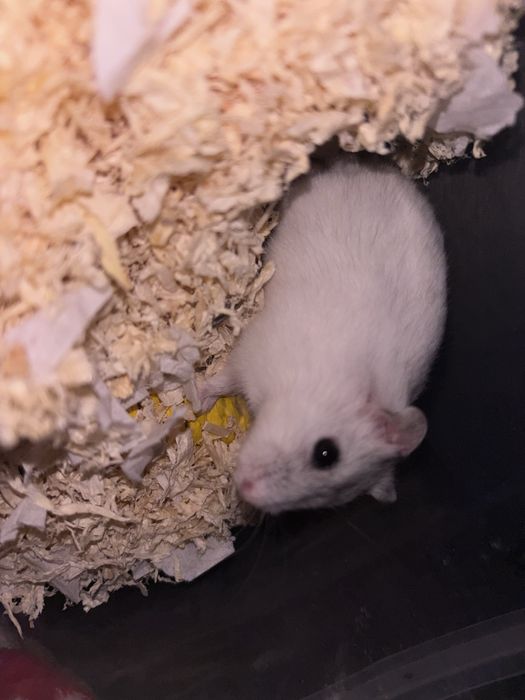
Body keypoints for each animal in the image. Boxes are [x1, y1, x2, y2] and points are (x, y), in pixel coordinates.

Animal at [199, 159, 447, 514]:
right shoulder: (252, 351)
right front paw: (198, 398)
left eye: (324, 500)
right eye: (326, 453)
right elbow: (224, 379)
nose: (245, 488)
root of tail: (369, 162)